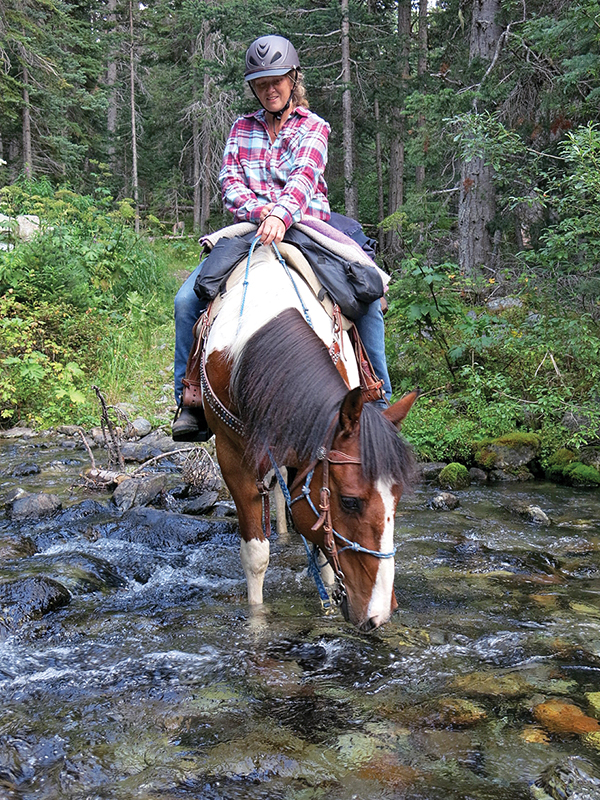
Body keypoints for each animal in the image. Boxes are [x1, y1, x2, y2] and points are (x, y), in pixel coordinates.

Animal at [200, 240, 417, 630]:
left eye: (396, 498)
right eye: (350, 501)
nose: (380, 614)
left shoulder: (304, 457)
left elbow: (320, 550)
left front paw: (327, 604)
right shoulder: (232, 459)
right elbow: (256, 555)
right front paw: (257, 622)